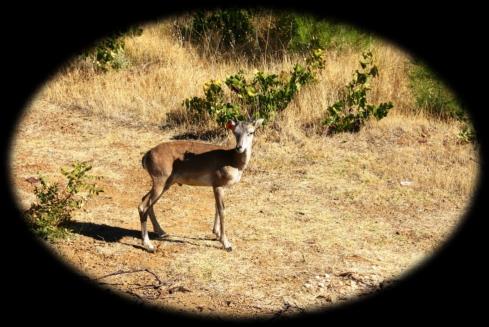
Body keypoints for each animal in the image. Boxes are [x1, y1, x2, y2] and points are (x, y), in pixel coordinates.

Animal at [137, 118, 264, 254]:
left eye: (251, 132)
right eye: (235, 132)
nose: (239, 147)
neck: (232, 160)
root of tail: (147, 155)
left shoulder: (218, 187)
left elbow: (216, 207)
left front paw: (216, 233)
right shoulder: (218, 186)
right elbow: (222, 210)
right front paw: (226, 243)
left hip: (165, 185)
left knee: (147, 201)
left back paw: (162, 232)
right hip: (160, 183)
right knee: (143, 206)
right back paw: (149, 245)